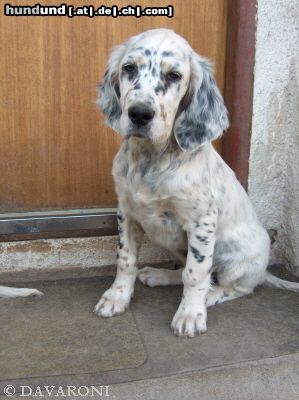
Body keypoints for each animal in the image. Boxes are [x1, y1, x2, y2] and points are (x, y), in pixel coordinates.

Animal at [95, 28, 298, 338]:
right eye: (129, 68)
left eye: (174, 75)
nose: (139, 114)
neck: (152, 159)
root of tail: (264, 270)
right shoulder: (126, 213)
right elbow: (125, 259)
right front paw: (116, 297)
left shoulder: (201, 221)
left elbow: (195, 273)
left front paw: (191, 314)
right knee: (182, 271)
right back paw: (159, 275)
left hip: (236, 257)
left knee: (234, 286)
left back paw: (210, 296)